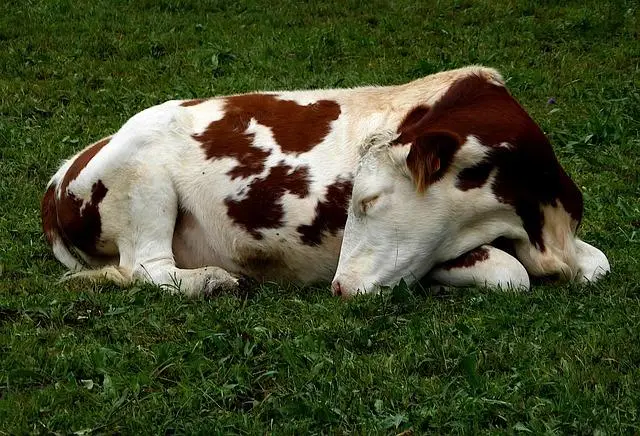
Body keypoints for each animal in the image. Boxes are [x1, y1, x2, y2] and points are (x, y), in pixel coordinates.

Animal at [40, 66, 610, 297]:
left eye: (370, 199)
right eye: (356, 198)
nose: (338, 285)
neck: (544, 227)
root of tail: (61, 173)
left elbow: (599, 264)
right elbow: (509, 274)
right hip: (143, 181)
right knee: (147, 268)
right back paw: (215, 281)